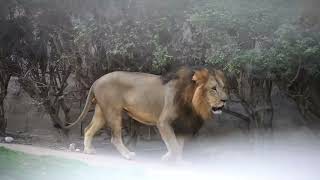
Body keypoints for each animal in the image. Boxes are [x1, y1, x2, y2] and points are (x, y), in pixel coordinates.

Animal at [65, 67, 228, 161]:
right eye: (213, 88)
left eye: (223, 87)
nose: (225, 100)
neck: (193, 104)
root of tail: (97, 80)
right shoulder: (163, 122)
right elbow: (174, 146)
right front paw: (176, 161)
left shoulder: (182, 125)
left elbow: (177, 145)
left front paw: (169, 158)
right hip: (113, 112)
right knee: (115, 138)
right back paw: (128, 155)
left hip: (101, 112)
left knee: (88, 129)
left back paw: (88, 150)